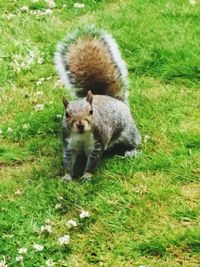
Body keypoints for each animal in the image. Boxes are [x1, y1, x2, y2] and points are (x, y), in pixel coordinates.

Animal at [54, 26, 141, 181]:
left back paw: (132, 150)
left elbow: (92, 162)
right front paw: (67, 176)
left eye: (91, 111)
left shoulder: (97, 144)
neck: (81, 136)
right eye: (67, 114)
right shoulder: (68, 145)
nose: (80, 124)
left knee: (134, 140)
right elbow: (68, 161)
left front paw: (87, 175)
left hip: (128, 130)